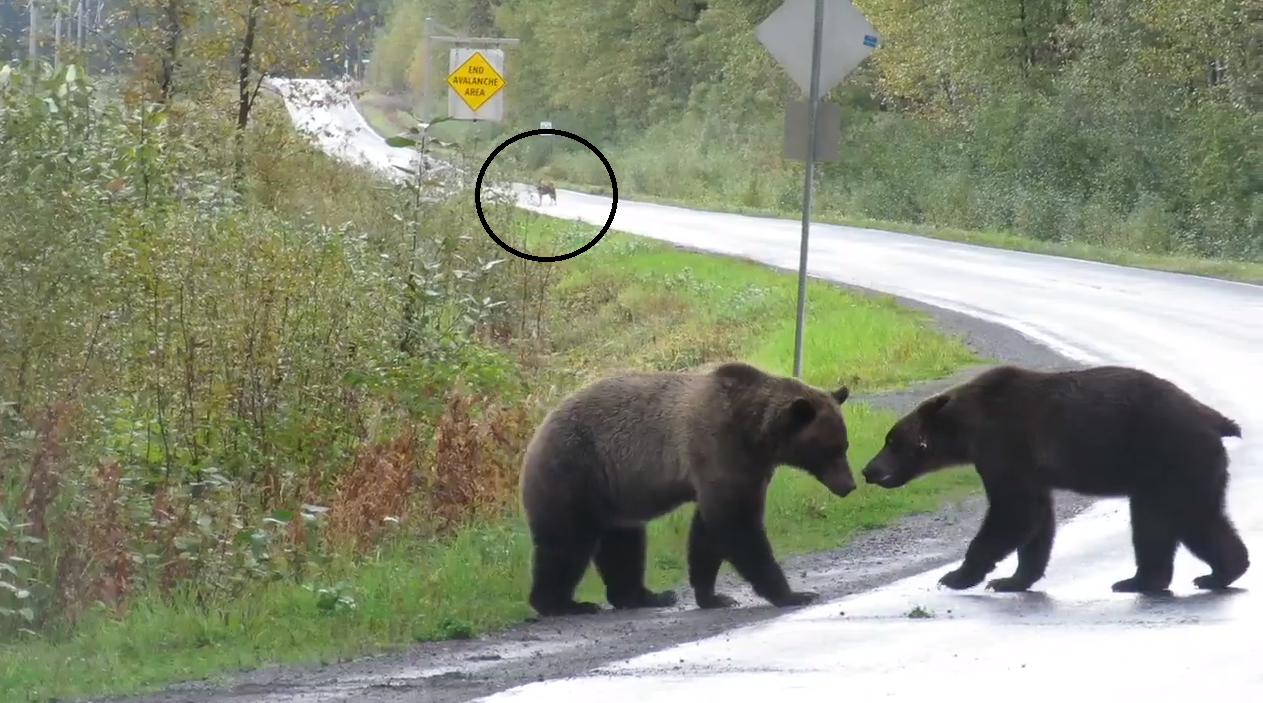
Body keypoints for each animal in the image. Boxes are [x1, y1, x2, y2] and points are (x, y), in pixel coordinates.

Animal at [515, 360, 858, 613]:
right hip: (574, 470)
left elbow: (708, 531)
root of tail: (537, 432)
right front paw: (793, 594)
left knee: (624, 543)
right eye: (829, 449)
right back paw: (562, 603)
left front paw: (713, 596)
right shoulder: (719, 449)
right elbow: (737, 526)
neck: (756, 435)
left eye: (844, 445)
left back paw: (645, 596)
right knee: (565, 542)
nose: (849, 484)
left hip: (615, 493)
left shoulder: (748, 469)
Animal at [863, 363, 1247, 595]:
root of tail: (1214, 418)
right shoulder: (1029, 468)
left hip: (1171, 457)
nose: (869, 469)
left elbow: (1013, 512)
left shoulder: (1005, 444)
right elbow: (1037, 517)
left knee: (1180, 518)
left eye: (892, 441)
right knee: (1179, 520)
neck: (967, 427)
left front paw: (958, 576)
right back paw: (1201, 573)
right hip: (1172, 472)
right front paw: (1013, 579)